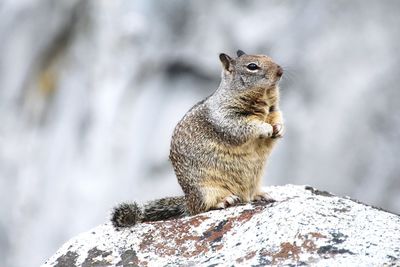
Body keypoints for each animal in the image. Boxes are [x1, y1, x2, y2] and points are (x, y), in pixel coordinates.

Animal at [111, 50, 282, 228]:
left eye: (268, 57)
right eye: (252, 66)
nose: (281, 71)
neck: (264, 98)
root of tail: (188, 201)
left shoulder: (274, 110)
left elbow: (277, 117)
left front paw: (278, 128)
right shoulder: (226, 117)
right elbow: (242, 127)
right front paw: (266, 128)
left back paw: (261, 195)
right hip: (205, 190)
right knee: (201, 208)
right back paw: (224, 200)